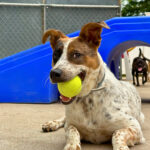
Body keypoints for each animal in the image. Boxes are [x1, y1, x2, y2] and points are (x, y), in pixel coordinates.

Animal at [41, 22, 145, 150]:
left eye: (76, 54)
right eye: (56, 54)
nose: (54, 73)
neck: (88, 98)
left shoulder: (134, 126)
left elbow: (117, 133)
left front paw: (121, 147)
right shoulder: (70, 124)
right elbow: (72, 130)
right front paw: (72, 145)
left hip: (141, 118)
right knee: (63, 118)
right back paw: (51, 123)